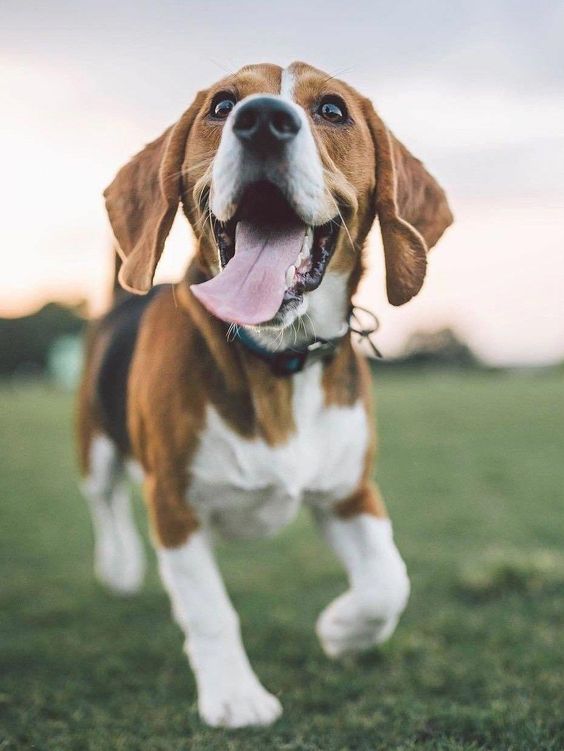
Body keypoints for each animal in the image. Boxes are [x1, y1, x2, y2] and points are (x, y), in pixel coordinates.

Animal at [76, 60, 454, 728]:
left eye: (331, 110)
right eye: (223, 105)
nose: (262, 121)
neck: (278, 361)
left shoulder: (349, 492)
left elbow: (389, 581)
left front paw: (341, 631)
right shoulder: (173, 503)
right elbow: (210, 611)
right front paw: (234, 695)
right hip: (95, 446)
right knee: (105, 500)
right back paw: (118, 565)